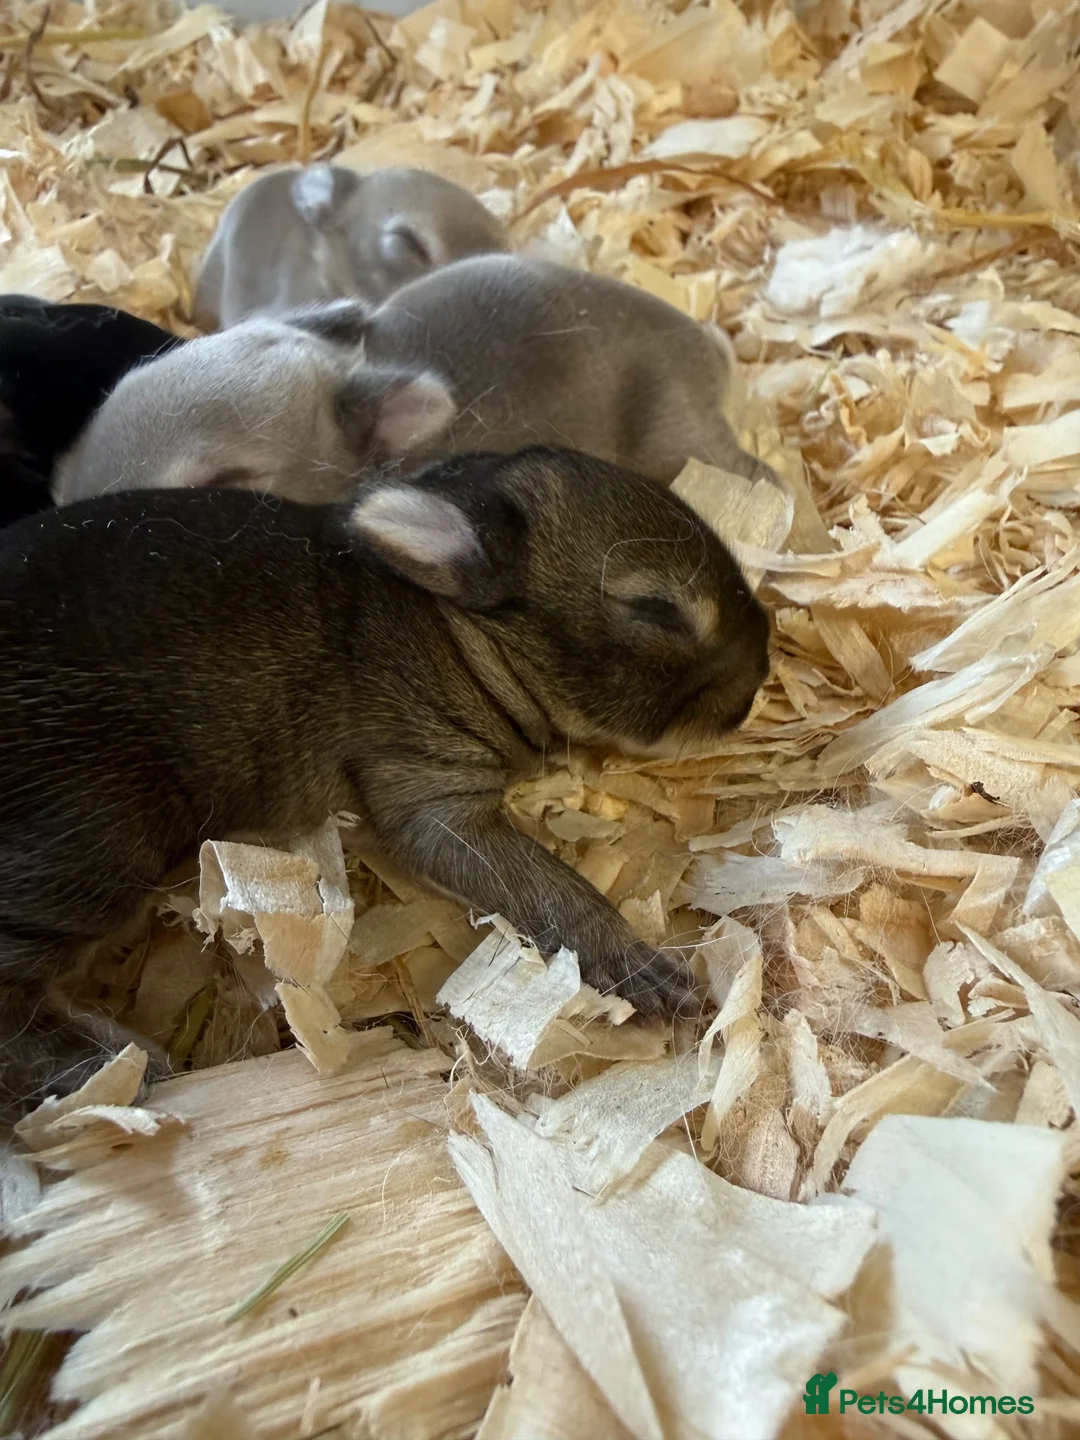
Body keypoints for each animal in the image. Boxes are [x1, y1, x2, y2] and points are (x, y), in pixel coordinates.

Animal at [0, 445, 770, 1116]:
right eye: (657, 610)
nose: (759, 679)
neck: (461, 633)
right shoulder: (429, 787)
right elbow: (551, 889)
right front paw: (652, 976)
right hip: (92, 843)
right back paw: (112, 1068)